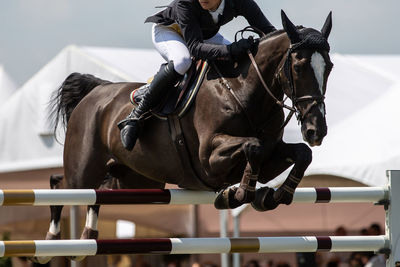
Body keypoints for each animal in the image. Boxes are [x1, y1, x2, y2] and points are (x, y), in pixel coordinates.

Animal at [35, 10, 334, 264]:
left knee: (99, 192)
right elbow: (254, 147)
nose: (316, 131)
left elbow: (300, 153)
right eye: (299, 66)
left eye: (329, 66)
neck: (242, 90)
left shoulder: (273, 153)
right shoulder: (209, 158)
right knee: (60, 185)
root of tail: (96, 91)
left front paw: (273, 195)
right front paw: (236, 194)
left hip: (134, 180)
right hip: (84, 170)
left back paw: (88, 237)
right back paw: (49, 244)